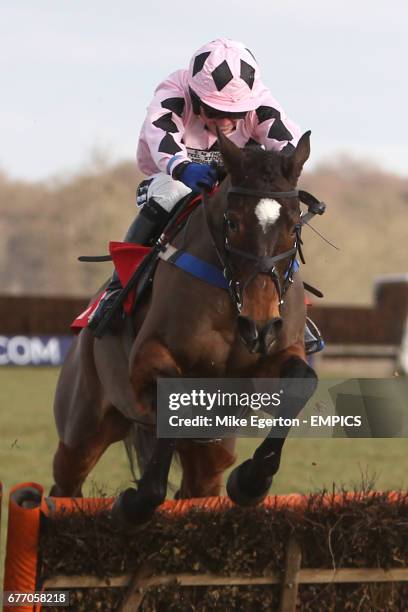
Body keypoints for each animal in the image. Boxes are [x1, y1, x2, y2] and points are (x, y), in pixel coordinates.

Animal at [51, 128, 318, 524]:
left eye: (293, 224)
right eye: (232, 222)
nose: (259, 325)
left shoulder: (273, 359)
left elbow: (301, 382)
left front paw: (251, 481)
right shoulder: (148, 359)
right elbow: (172, 396)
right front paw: (135, 500)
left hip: (208, 455)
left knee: (197, 486)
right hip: (81, 428)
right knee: (64, 485)